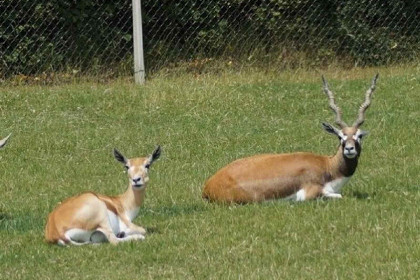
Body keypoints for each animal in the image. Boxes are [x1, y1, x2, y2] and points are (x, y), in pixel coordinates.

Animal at [202, 75, 378, 203]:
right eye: (340, 136)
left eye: (359, 135)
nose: (349, 149)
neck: (328, 167)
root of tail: (209, 186)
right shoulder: (310, 193)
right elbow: (339, 196)